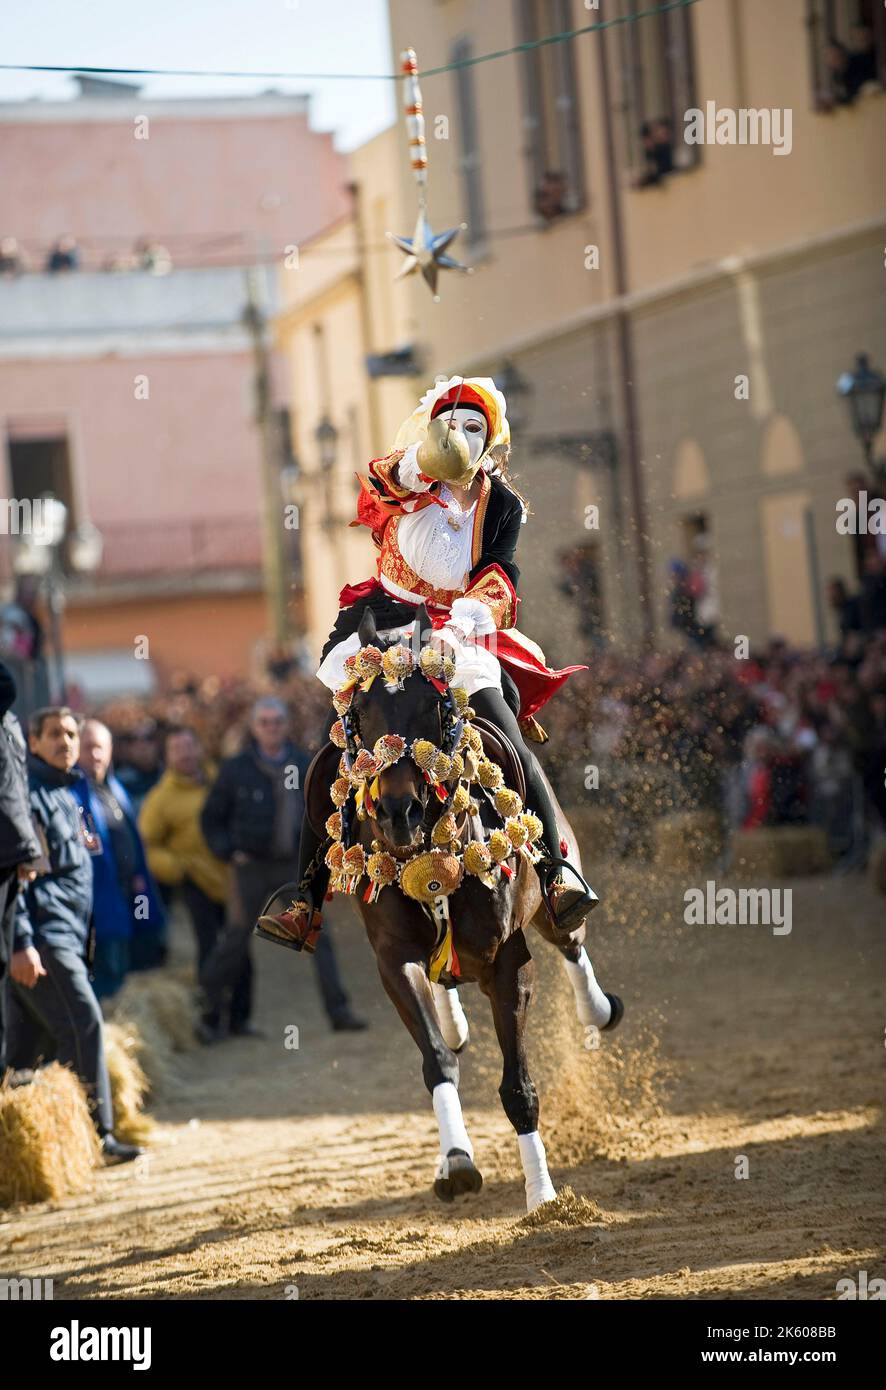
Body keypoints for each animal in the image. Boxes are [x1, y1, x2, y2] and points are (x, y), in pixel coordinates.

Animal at [299, 603, 623, 1212]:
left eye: (433, 707)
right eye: (361, 713)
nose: (398, 812)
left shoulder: (507, 961)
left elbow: (518, 1088)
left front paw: (542, 1197)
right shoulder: (394, 958)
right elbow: (436, 1059)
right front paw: (455, 1160)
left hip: (551, 897)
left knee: (571, 940)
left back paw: (596, 1006)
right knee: (447, 998)